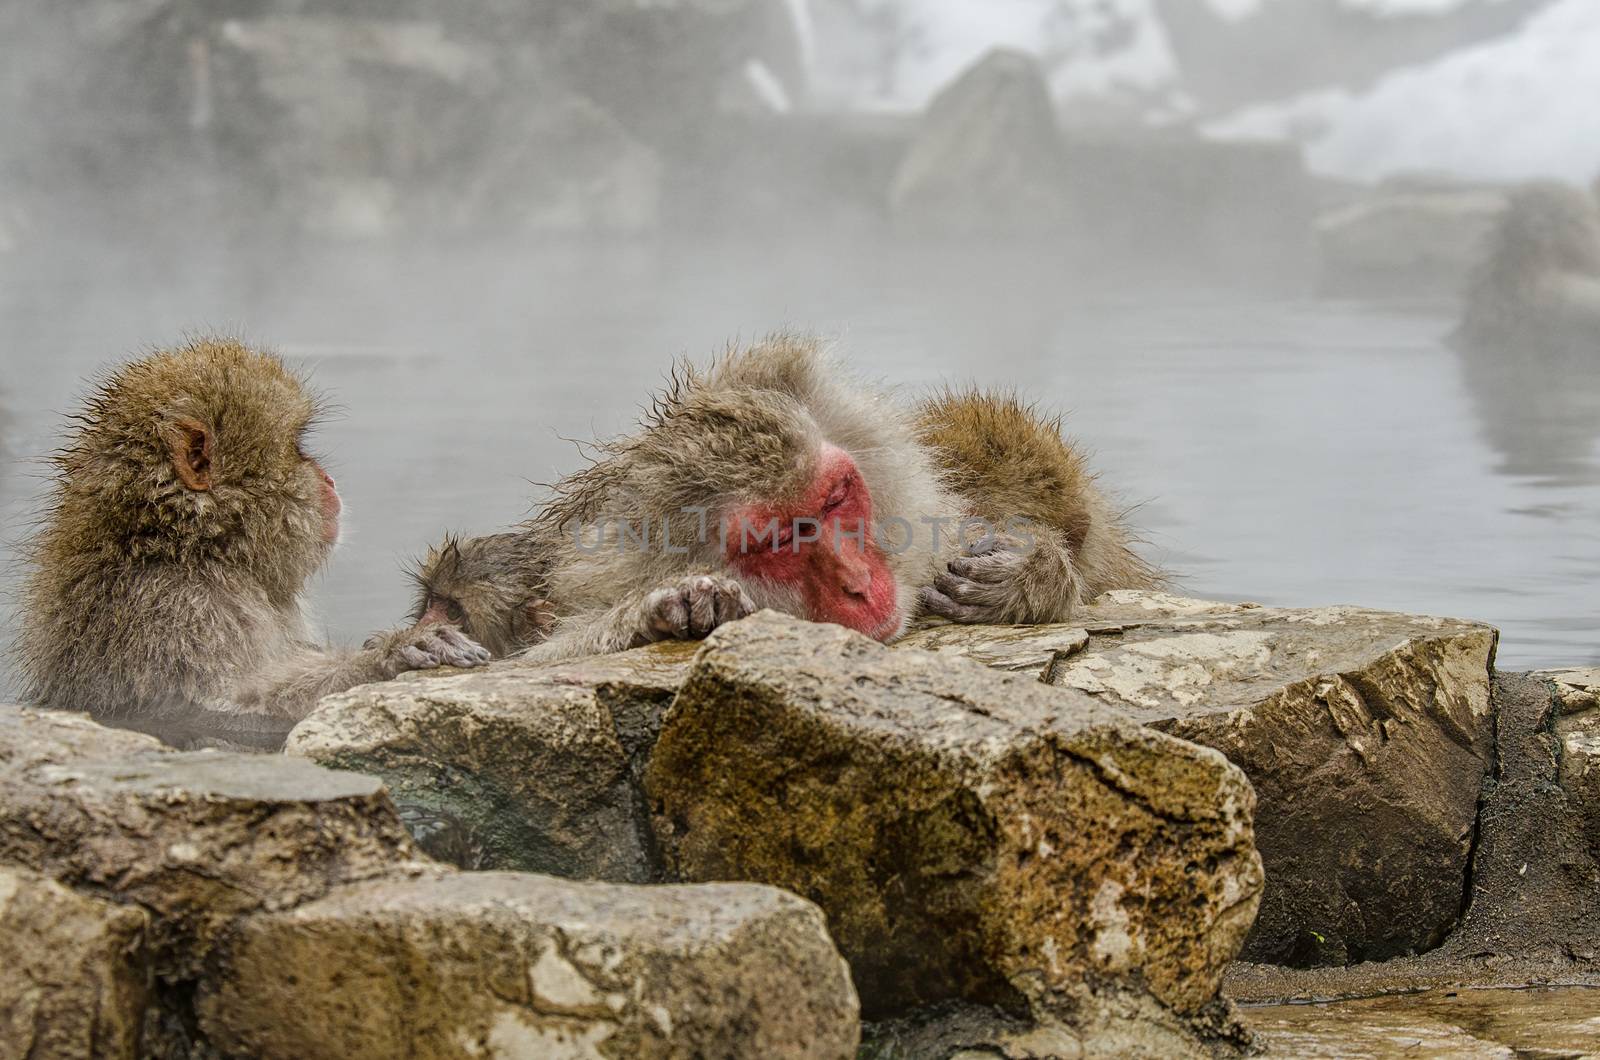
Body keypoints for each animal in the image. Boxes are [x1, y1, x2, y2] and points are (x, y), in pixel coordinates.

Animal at [14, 341, 486, 723]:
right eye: (298, 451)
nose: (329, 481)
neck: (189, 545)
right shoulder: (169, 606)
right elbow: (218, 705)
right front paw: (389, 655)